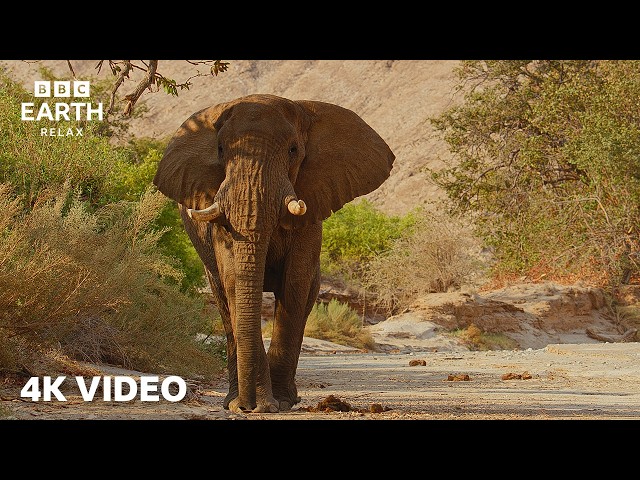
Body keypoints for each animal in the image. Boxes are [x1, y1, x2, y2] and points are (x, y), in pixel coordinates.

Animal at [153, 93, 395, 413]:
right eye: (220, 149)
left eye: (293, 150)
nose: (248, 407)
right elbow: (234, 281)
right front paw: (260, 405)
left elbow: (295, 283)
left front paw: (277, 402)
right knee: (223, 301)